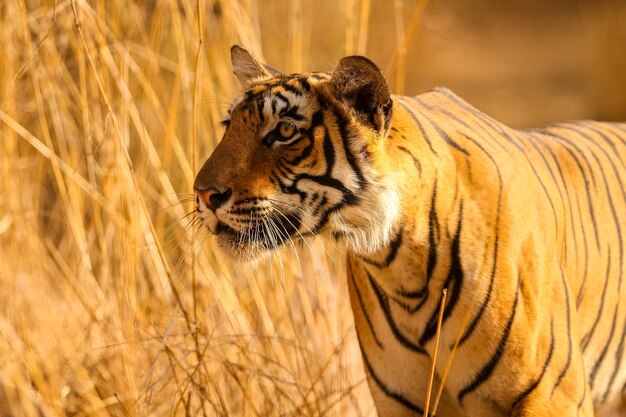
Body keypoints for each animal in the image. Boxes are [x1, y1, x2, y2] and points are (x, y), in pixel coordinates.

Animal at [191, 44, 624, 414]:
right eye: (229, 124)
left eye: (284, 131)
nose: (204, 193)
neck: (401, 263)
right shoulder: (399, 401)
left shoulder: (554, 396)